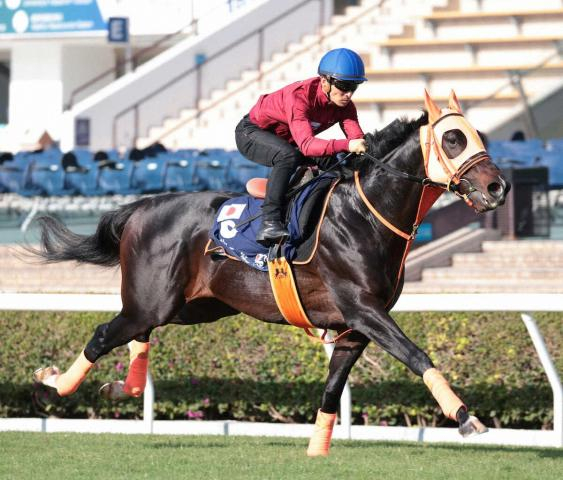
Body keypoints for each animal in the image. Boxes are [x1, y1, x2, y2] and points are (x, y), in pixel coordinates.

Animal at [33, 92, 512, 456]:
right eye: (453, 139)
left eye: (476, 135)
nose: (498, 187)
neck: (365, 214)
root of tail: (140, 208)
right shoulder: (363, 310)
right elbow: (418, 356)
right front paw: (466, 418)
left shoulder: (353, 328)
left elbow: (332, 390)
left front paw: (316, 451)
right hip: (153, 301)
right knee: (103, 334)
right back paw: (51, 384)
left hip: (191, 306)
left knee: (138, 336)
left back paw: (117, 389)